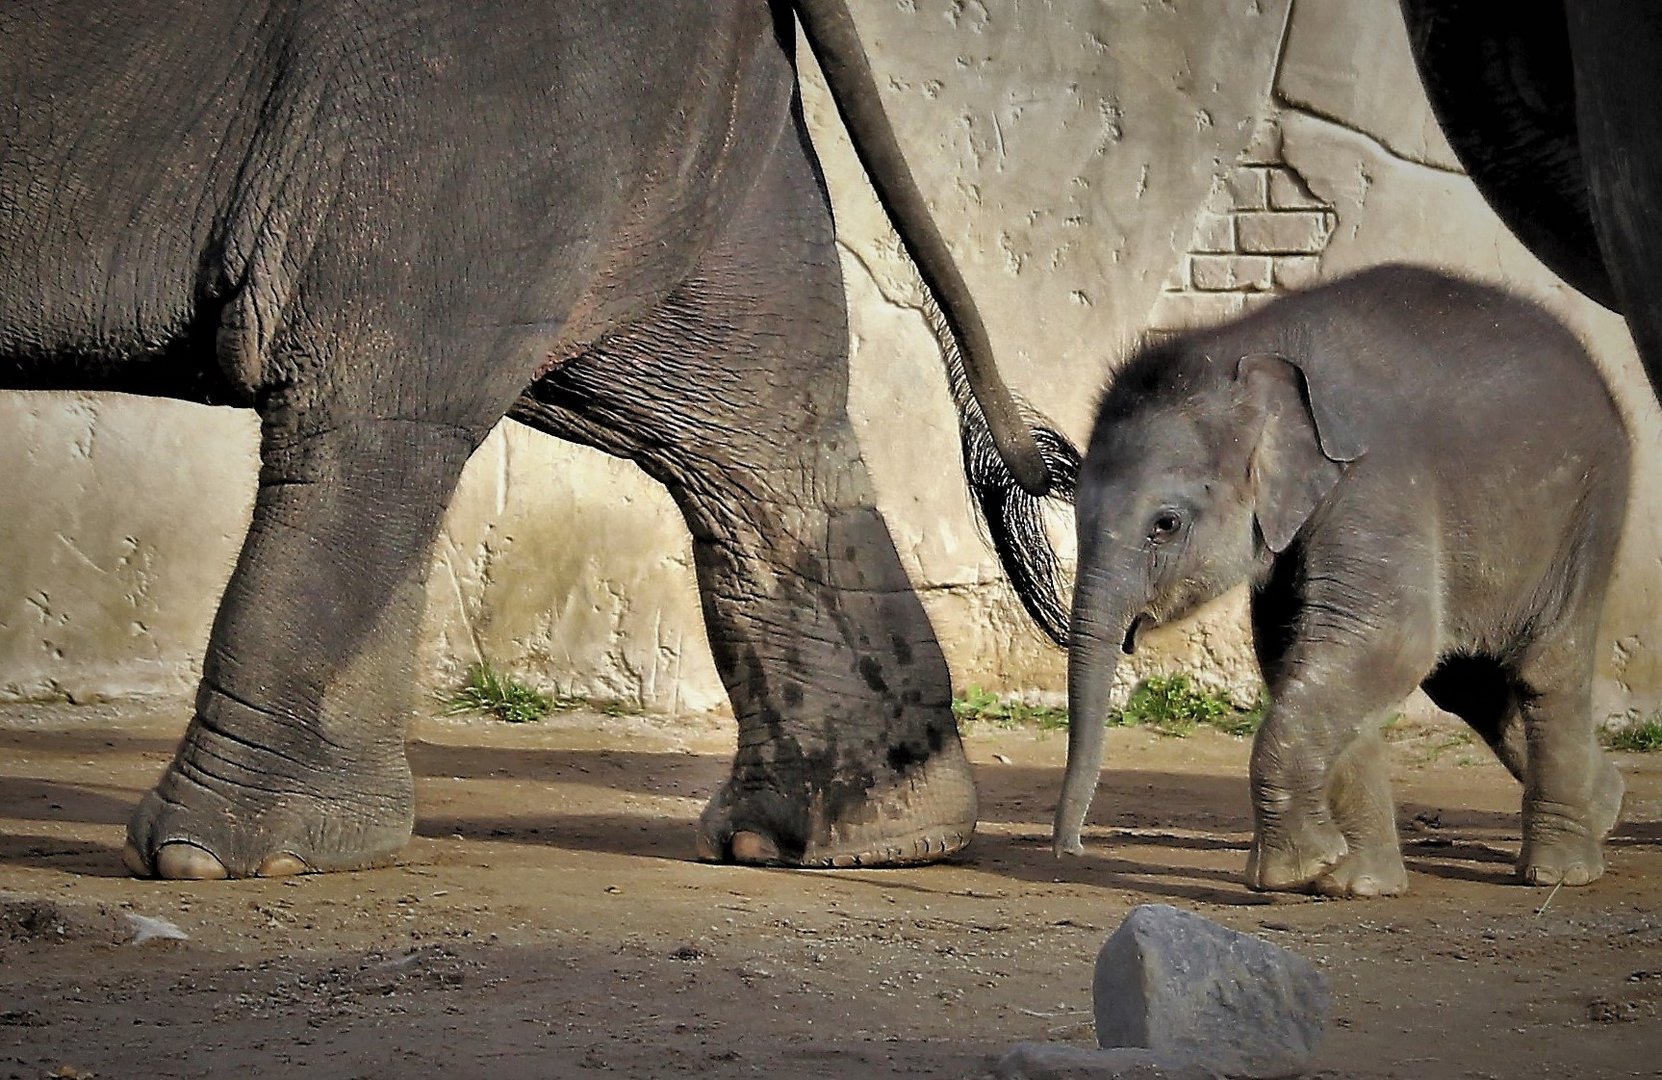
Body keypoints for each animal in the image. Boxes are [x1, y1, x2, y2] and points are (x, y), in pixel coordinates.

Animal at [1063, 264, 1622, 897]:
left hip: (1589, 508)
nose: (1073, 849)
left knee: (1545, 669)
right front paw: (1354, 884)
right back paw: (1606, 806)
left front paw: (1291, 873)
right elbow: (1298, 656)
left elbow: (1390, 641)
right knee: (1468, 685)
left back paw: (1559, 871)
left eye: (1166, 524)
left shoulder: (1376, 481)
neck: (1242, 348)